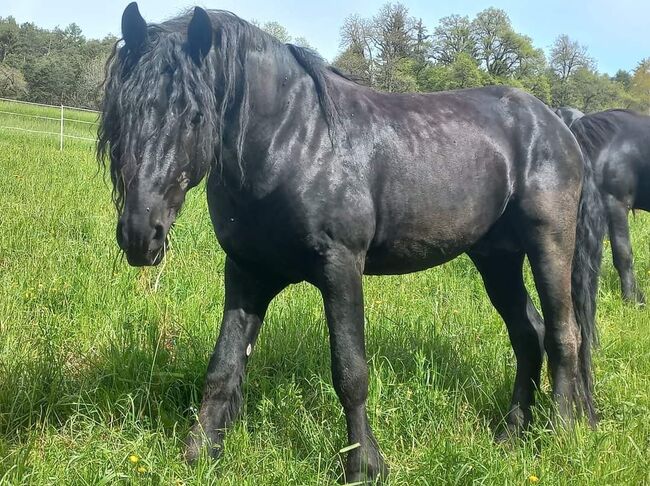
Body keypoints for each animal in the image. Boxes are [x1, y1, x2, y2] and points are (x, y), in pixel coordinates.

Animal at [98, 4, 604, 482]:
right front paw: (201, 453)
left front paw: (363, 465)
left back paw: (561, 434)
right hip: (496, 258)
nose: (140, 234)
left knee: (563, 334)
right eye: (122, 112)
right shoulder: (246, 272)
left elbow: (350, 372)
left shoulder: (341, 268)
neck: (291, 143)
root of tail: (556, 122)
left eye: (195, 115)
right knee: (528, 334)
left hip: (549, 243)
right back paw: (512, 433)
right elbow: (223, 366)